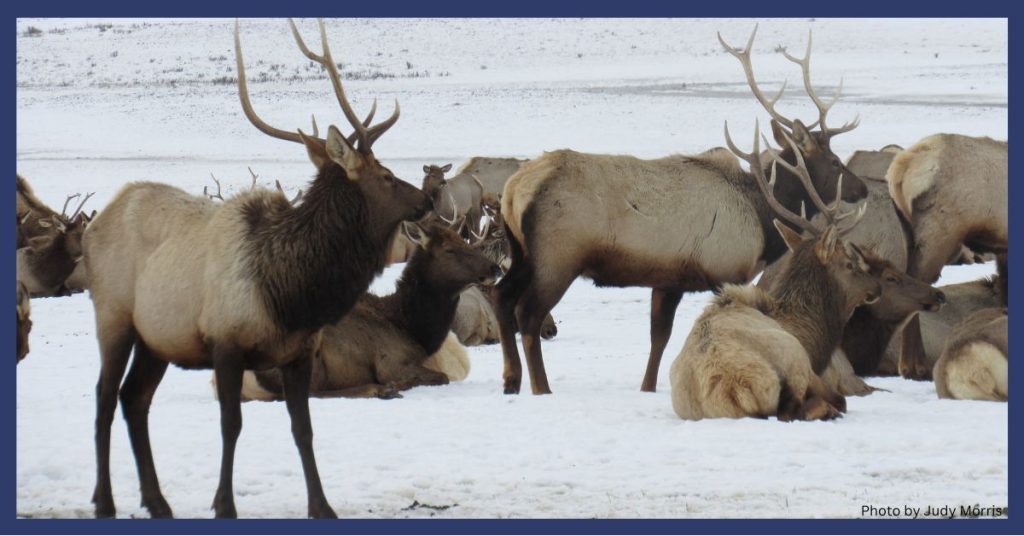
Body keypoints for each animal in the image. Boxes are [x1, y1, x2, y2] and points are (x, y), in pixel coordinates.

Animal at [80, 19, 430, 519]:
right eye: (384, 175)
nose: (426, 199)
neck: (293, 292)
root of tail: (94, 226)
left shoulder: (299, 351)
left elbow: (303, 429)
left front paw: (322, 506)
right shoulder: (226, 342)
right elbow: (231, 424)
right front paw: (223, 504)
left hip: (157, 339)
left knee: (135, 399)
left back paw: (158, 501)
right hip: (113, 317)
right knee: (106, 398)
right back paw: (105, 501)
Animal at [238, 221, 501, 400]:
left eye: (463, 241)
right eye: (449, 249)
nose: (495, 268)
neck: (412, 329)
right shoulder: (391, 363)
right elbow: (441, 377)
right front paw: (396, 384)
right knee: (310, 393)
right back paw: (381, 390)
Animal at [493, 25, 866, 395]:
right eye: (835, 161)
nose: (862, 187)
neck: (760, 216)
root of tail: (513, 190)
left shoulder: (668, 279)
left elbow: (658, 338)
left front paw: (647, 387)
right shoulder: (722, 272)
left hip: (523, 252)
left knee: (500, 296)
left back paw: (511, 379)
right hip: (557, 257)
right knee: (527, 313)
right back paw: (540, 387)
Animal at [670, 119, 879, 421]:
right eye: (849, 263)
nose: (877, 287)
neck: (811, 333)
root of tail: (733, 388)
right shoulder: (810, 365)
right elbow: (840, 399)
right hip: (792, 359)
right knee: (797, 409)